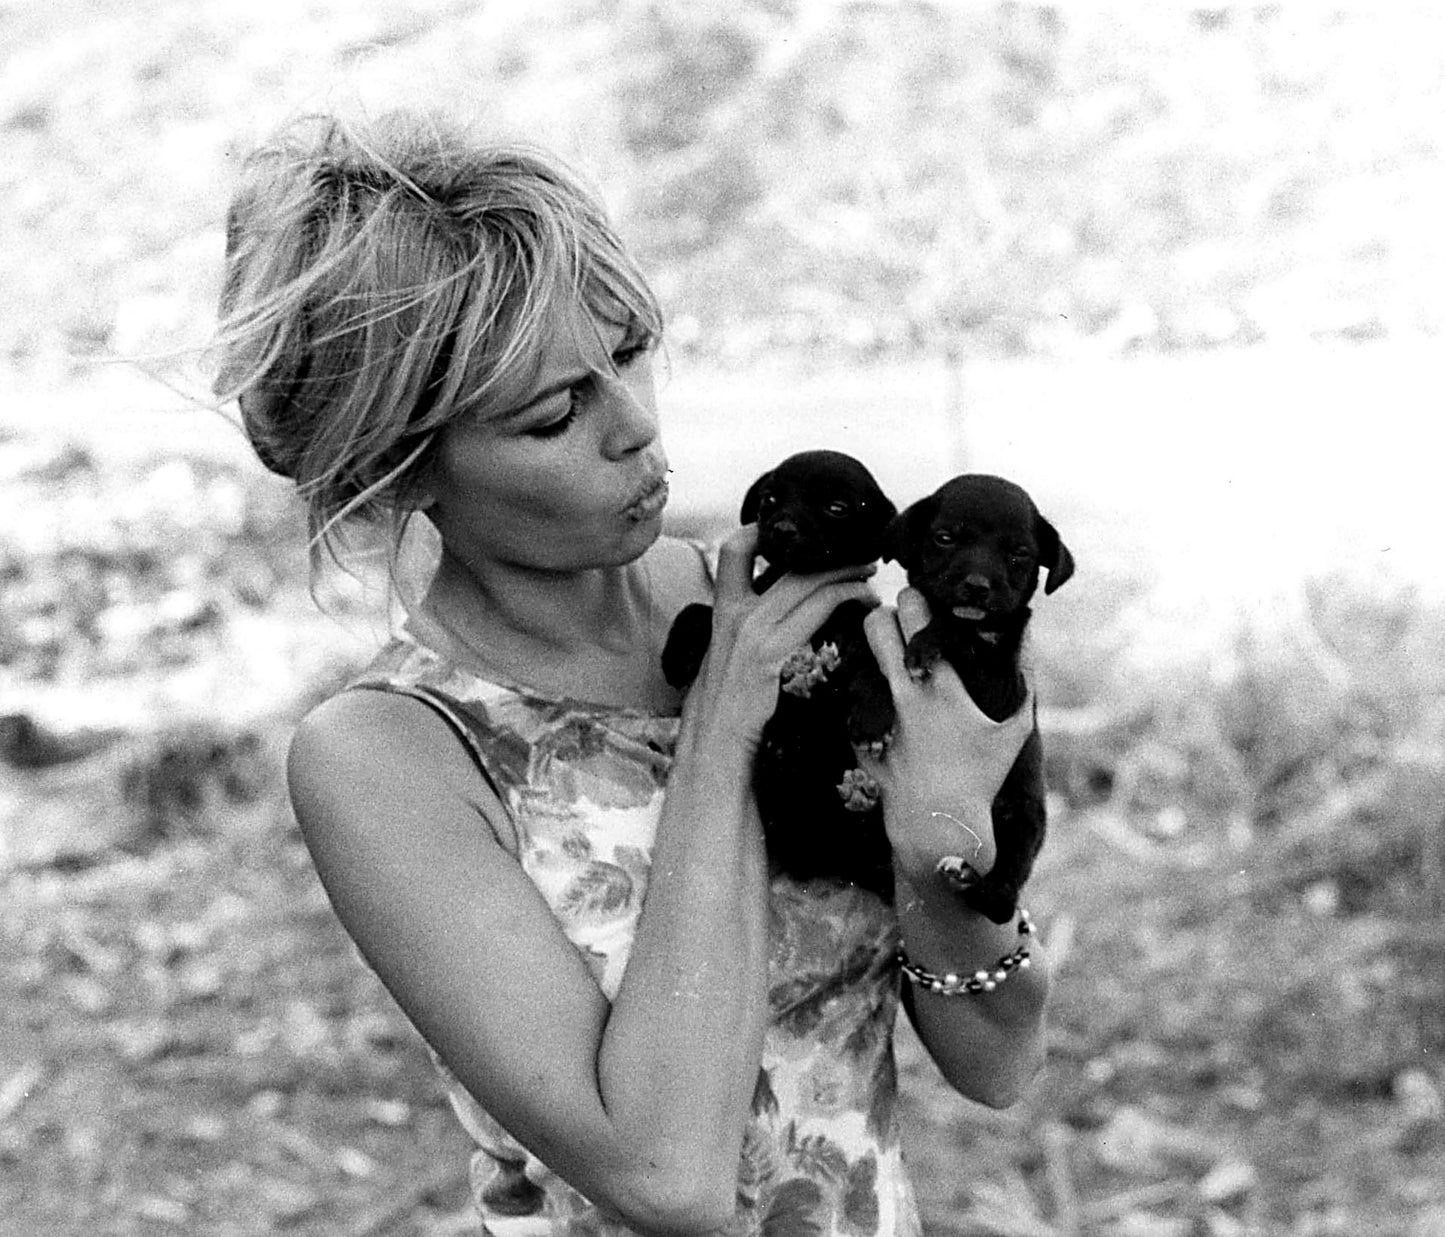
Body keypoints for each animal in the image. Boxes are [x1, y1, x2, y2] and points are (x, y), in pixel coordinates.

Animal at [661, 447, 890, 895]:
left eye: (837, 507)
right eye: (769, 499)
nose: (782, 528)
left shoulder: (858, 620)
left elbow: (872, 657)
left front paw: (873, 715)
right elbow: (698, 612)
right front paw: (678, 652)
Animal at [843, 479, 1075, 924]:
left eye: (1020, 554)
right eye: (945, 538)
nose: (977, 586)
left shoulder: (1001, 688)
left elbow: (962, 634)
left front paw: (928, 642)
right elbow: (866, 658)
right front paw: (870, 720)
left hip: (1024, 817)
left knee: (1002, 895)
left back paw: (971, 879)